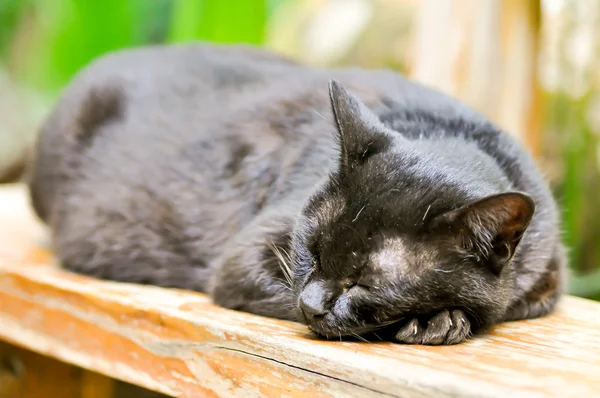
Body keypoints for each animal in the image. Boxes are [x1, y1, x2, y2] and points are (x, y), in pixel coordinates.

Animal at [27, 42, 568, 344]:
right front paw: (438, 322)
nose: (310, 304)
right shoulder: (245, 256)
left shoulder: (549, 275)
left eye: (364, 283)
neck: (448, 135)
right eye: (310, 248)